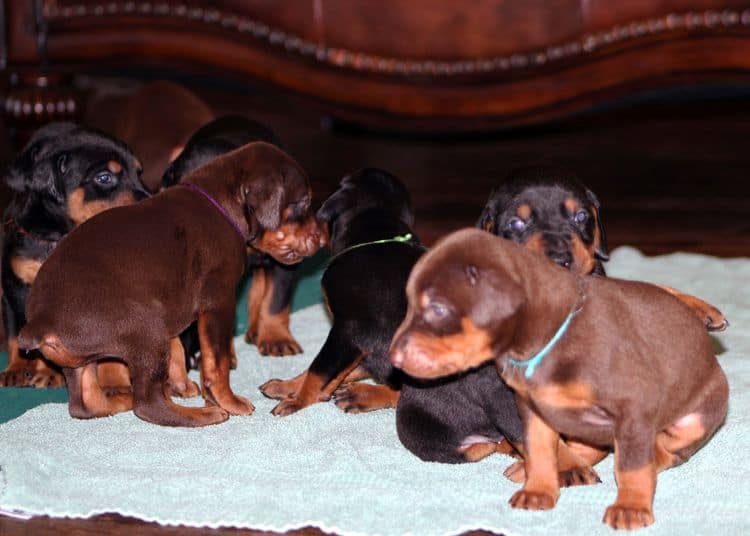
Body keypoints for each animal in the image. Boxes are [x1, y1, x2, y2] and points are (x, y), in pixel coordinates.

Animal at [0, 122, 148, 388]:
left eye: (138, 172)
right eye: (104, 177)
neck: (61, 235)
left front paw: (51, 373)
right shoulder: (14, 286)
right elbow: (16, 332)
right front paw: (17, 368)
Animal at [16, 142, 324, 428]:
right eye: (304, 201)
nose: (321, 239)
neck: (220, 204)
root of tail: (41, 322)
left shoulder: (173, 303)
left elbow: (178, 348)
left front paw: (181, 386)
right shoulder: (219, 302)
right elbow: (217, 362)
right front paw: (228, 401)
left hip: (82, 359)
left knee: (86, 405)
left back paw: (123, 399)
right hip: (145, 329)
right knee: (148, 405)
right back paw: (203, 414)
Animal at [258, 168, 424, 414]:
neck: (377, 236)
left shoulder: (348, 329)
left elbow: (319, 369)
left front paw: (297, 401)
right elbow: (326, 369)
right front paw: (285, 387)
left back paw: (362, 395)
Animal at [390, 228, 732, 528]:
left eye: (437, 310)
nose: (394, 358)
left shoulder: (631, 409)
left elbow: (631, 463)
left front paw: (629, 506)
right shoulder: (516, 403)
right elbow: (539, 446)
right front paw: (543, 485)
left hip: (692, 420)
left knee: (659, 452)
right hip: (423, 430)